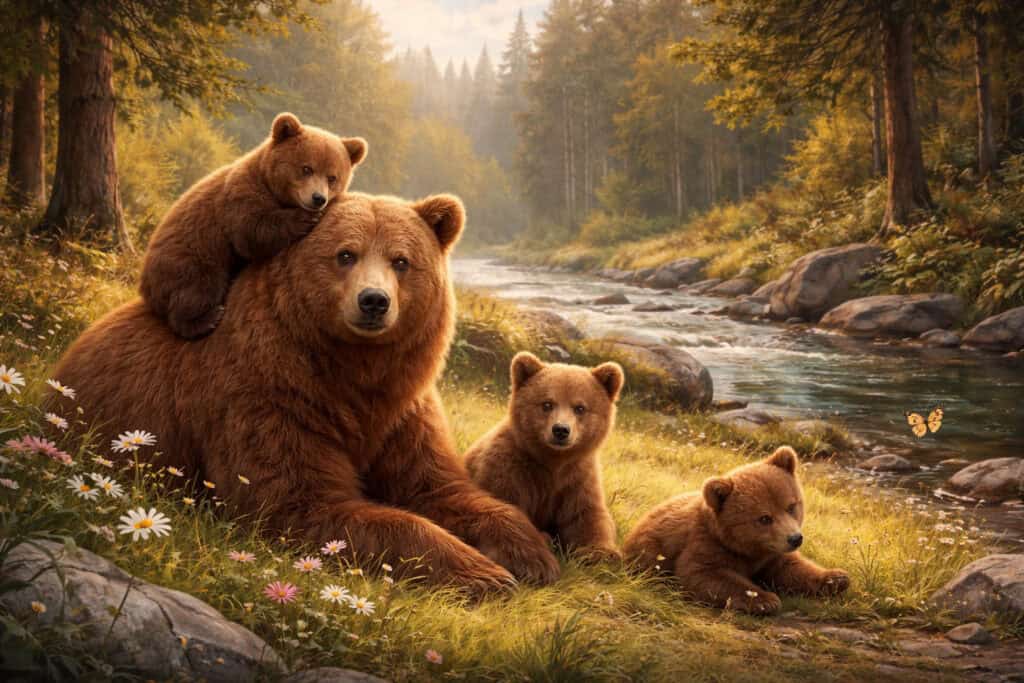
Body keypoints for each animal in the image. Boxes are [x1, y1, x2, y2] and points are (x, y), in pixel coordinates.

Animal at [53, 191, 560, 595]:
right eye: (345, 254)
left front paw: (532, 553)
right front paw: (484, 573)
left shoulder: (401, 411)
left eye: (401, 260)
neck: (352, 374)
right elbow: (302, 502)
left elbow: (438, 486)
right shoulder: (272, 397)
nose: (374, 301)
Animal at [139, 112, 368, 339]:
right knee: (197, 286)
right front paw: (305, 218)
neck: (274, 189)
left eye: (332, 177)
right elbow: (253, 233)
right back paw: (206, 319)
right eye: (306, 168)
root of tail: (145, 283)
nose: (318, 198)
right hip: (191, 253)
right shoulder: (240, 196)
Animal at [465, 352, 623, 563]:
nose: (561, 430)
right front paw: (544, 538)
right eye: (547, 404)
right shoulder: (508, 470)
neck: (553, 461)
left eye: (580, 407)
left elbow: (587, 515)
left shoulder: (577, 478)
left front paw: (602, 552)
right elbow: (506, 505)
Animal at [622, 447, 849, 614]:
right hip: (649, 552)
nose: (795, 538)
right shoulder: (705, 545)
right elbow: (705, 574)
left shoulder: (771, 555)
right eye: (764, 518)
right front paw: (765, 599)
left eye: (791, 506)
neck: (747, 548)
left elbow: (792, 568)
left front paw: (837, 578)